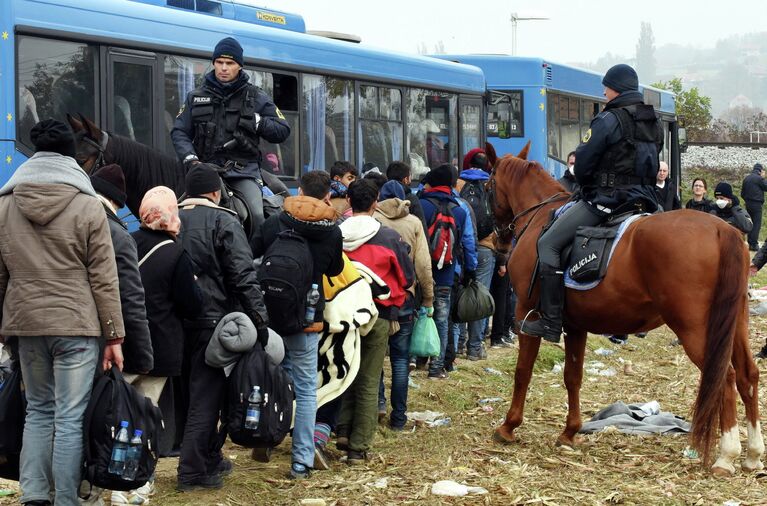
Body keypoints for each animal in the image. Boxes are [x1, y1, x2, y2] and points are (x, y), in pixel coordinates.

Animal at [488, 145, 764, 474]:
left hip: (694, 328)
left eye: (487, 185)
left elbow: (523, 372)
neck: (541, 215)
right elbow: (573, 376)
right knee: (748, 374)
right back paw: (752, 454)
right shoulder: (575, 325)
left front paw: (509, 426)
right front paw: (570, 432)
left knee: (725, 377)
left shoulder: (525, 314)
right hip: (735, 324)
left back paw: (727, 455)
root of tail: (724, 231)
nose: (497, 242)